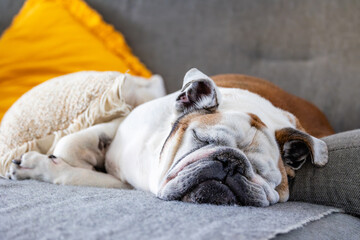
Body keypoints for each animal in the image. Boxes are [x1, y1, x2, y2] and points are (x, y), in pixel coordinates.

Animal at [7, 69, 334, 206]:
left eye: (265, 175)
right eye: (201, 139)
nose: (230, 163)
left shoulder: (123, 184)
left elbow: (72, 173)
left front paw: (38, 166)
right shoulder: (122, 129)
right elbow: (71, 143)